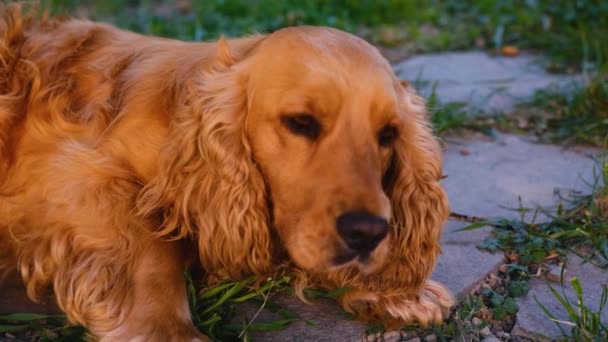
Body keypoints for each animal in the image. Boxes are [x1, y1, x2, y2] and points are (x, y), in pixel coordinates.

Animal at [0, 4, 454, 340]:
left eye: (388, 134)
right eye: (301, 122)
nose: (367, 232)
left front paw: (397, 294)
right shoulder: (65, 169)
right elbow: (147, 244)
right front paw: (164, 328)